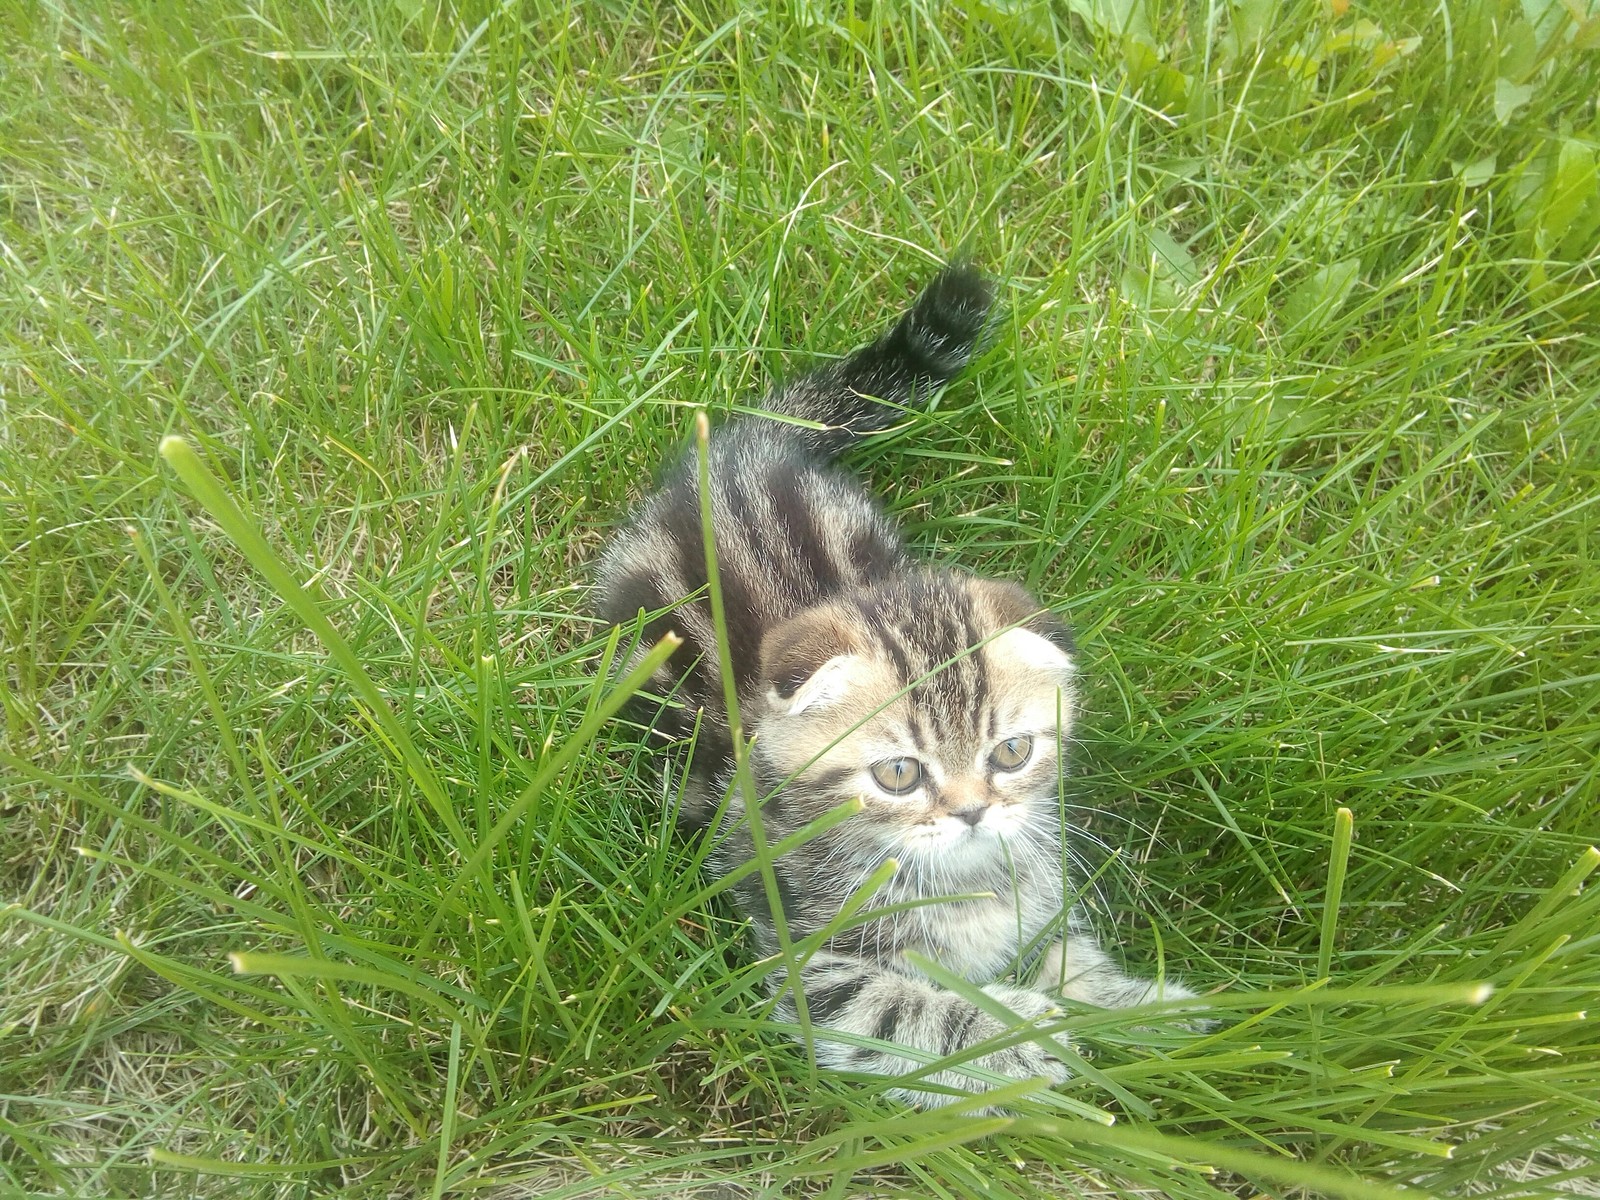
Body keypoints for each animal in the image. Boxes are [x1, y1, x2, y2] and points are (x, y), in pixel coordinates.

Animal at [595, 265, 1196, 1107]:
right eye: (900, 774)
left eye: (1011, 753)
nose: (973, 812)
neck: (963, 877)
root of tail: (735, 454)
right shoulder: (808, 963)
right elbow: (899, 1010)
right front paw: (1018, 1043)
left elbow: (1067, 958)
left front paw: (1145, 1010)